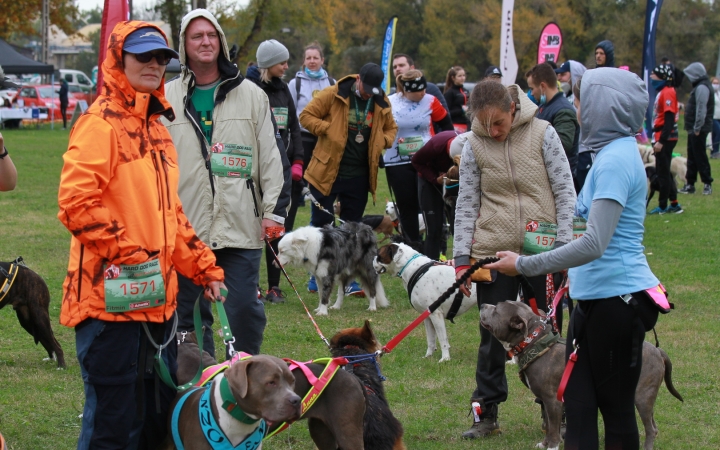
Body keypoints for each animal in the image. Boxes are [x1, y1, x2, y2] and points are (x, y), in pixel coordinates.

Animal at [480, 298, 684, 450]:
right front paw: (544, 444)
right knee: (654, 426)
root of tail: (657, 350)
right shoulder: (546, 401)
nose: (482, 305)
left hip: (642, 396)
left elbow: (553, 429)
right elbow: (549, 425)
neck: (533, 343)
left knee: (650, 429)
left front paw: (552, 446)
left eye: (497, 309)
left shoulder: (552, 400)